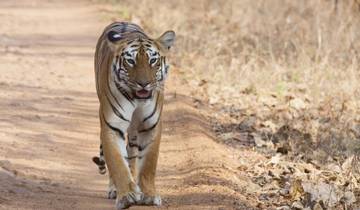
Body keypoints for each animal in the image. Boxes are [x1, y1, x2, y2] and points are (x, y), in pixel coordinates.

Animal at [92, 21, 175, 208]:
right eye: (130, 61)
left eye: (153, 60)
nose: (143, 84)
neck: (138, 100)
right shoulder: (112, 127)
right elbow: (117, 163)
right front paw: (126, 196)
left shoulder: (150, 127)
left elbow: (148, 165)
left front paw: (149, 195)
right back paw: (116, 190)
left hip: (134, 131)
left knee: (132, 154)